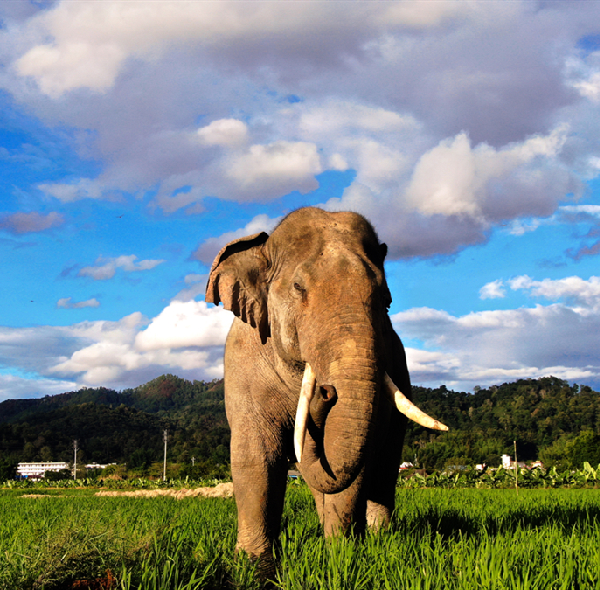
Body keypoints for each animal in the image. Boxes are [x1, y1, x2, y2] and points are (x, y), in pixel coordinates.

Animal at [206, 209, 446, 580]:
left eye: (386, 300)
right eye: (298, 287)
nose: (327, 391)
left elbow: (351, 461)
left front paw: (341, 558)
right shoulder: (241, 362)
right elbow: (256, 456)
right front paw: (254, 567)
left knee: (384, 464)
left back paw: (378, 537)